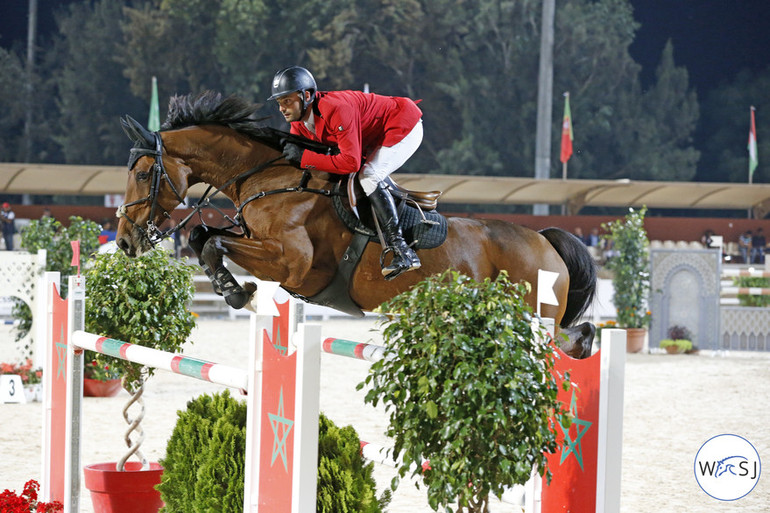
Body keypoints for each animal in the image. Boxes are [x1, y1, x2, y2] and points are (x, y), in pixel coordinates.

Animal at [114, 91, 596, 356]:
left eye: (144, 173)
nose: (123, 244)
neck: (267, 178)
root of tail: (544, 240)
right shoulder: (257, 243)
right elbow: (202, 235)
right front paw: (234, 288)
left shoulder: (292, 264)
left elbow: (214, 244)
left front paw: (236, 292)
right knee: (573, 335)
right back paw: (586, 342)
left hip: (530, 313)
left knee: (557, 340)